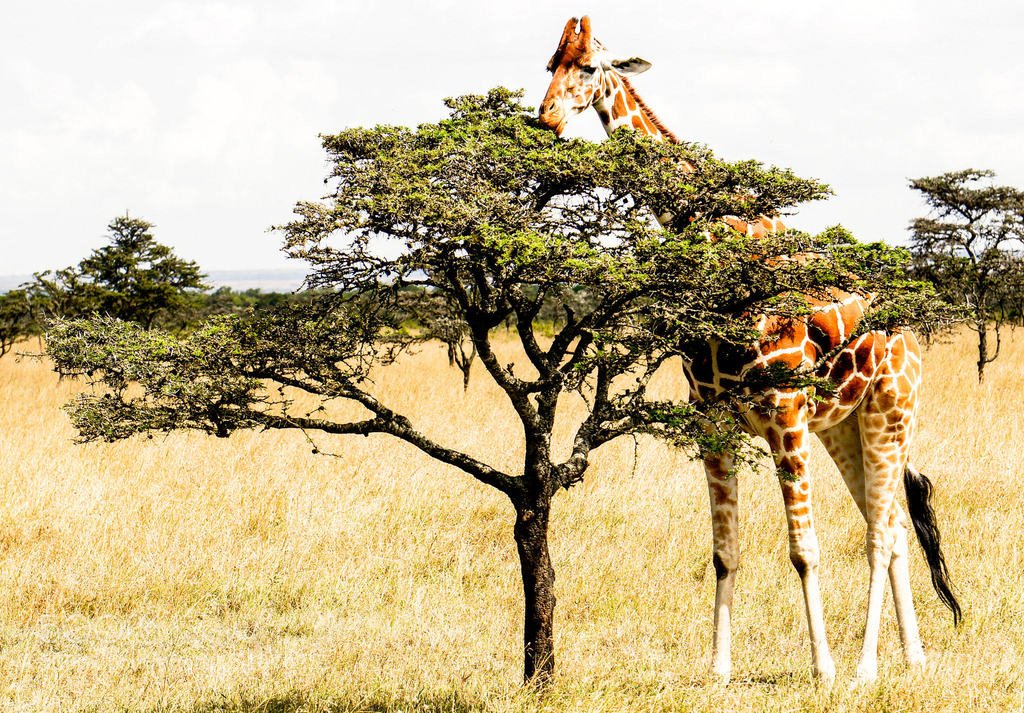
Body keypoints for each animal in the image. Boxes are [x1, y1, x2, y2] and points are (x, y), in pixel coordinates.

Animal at [539, 16, 960, 684]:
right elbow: (724, 551)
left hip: (892, 413)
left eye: (587, 67)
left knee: (880, 533)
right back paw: (912, 655)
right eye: (548, 63)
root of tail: (912, 336)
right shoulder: (712, 419)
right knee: (890, 524)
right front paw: (718, 668)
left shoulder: (785, 415)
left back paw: (866, 666)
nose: (546, 118)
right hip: (843, 427)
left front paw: (823, 669)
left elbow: (804, 551)